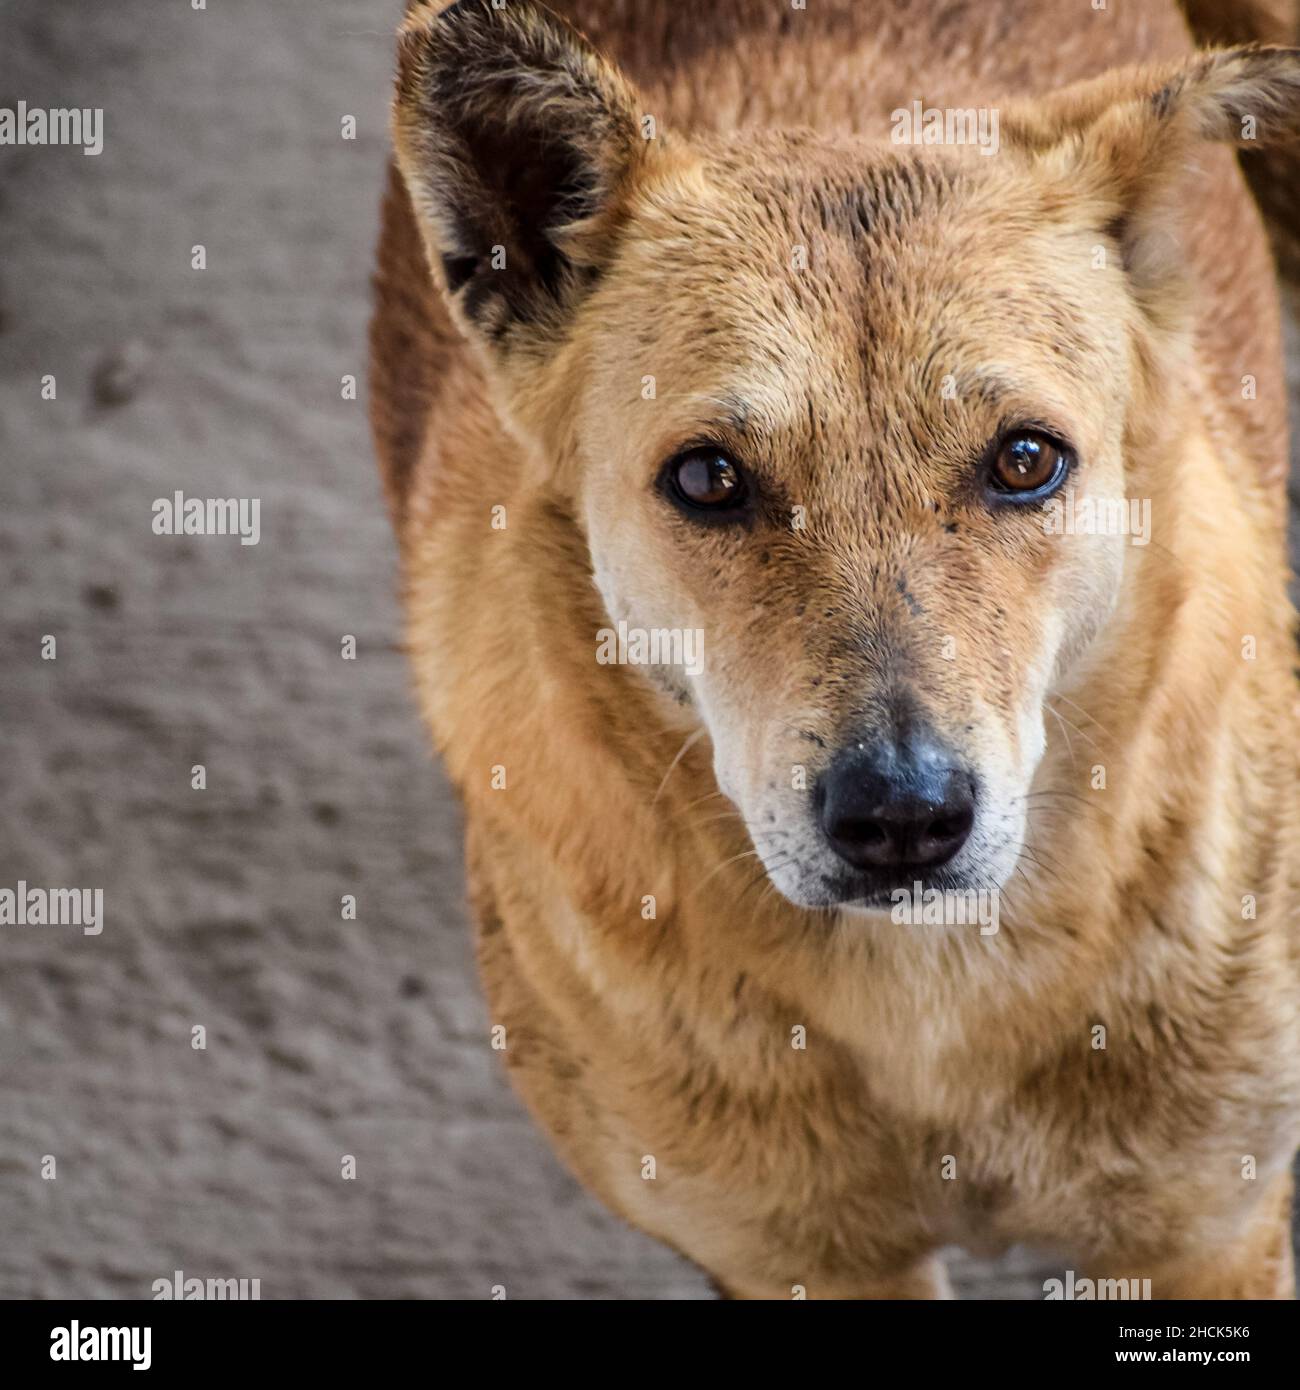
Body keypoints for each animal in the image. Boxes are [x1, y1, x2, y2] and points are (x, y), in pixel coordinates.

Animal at [367, 2, 1300, 1301]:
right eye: (708, 477)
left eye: (1025, 459)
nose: (903, 819)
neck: (927, 995)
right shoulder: (800, 1264)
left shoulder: (1207, 1230)